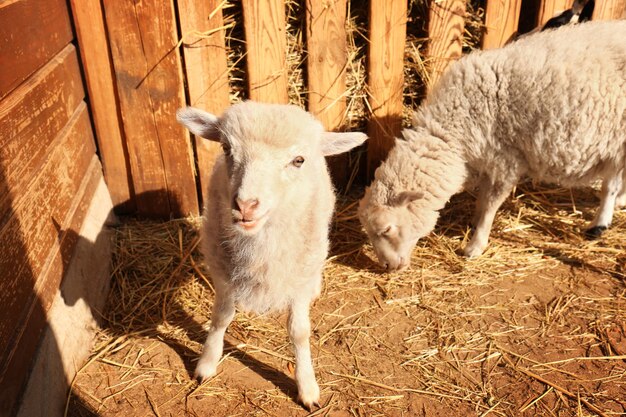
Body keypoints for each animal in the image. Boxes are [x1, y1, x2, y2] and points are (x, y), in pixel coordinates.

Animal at [176, 100, 366, 406]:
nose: (245, 205)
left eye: (298, 160)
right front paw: (206, 363)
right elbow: (220, 317)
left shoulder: (298, 276)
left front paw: (307, 386)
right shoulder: (223, 272)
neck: (260, 244)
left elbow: (299, 332)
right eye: (227, 148)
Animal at [356, 20, 624, 270]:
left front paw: (476, 244)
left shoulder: (505, 159)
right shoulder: (487, 159)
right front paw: (474, 222)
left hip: (618, 137)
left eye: (386, 229)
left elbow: (490, 204)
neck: (453, 129)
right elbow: (483, 198)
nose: (387, 266)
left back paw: (600, 223)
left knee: (609, 185)